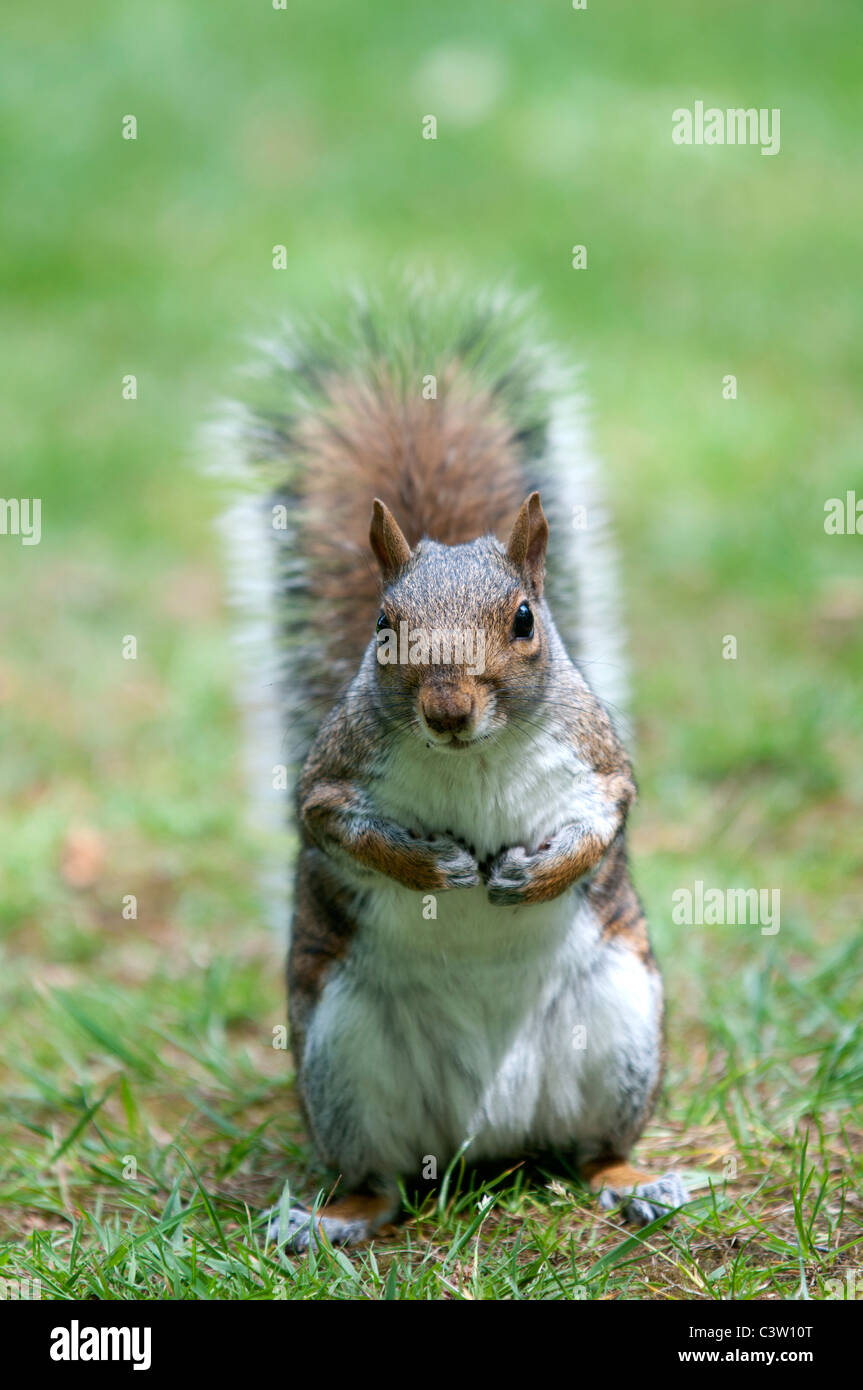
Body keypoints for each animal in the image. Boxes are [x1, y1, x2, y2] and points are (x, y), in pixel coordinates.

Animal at [215, 279, 686, 1251]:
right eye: (383, 624)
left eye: (523, 620)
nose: (447, 709)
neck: (473, 758)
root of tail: (487, 1134)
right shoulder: (332, 777)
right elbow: (337, 826)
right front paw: (435, 868)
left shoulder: (599, 764)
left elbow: (604, 823)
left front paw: (533, 875)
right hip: (343, 1060)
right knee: (380, 1182)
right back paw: (329, 1220)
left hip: (621, 1031)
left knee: (593, 1152)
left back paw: (637, 1182)